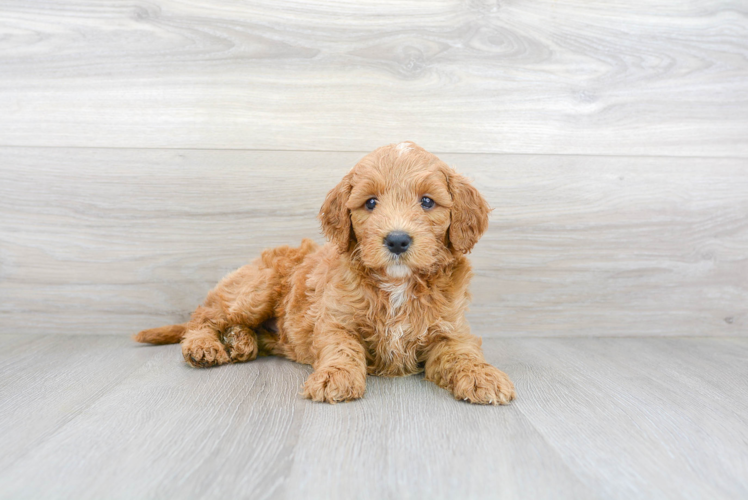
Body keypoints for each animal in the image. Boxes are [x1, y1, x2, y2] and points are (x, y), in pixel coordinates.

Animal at [134, 142, 516, 406]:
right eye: (371, 203)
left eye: (427, 202)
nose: (396, 240)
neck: (397, 283)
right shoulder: (335, 320)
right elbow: (342, 348)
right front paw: (336, 378)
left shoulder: (451, 330)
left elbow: (463, 354)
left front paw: (484, 377)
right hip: (257, 288)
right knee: (205, 316)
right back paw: (205, 345)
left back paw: (241, 342)